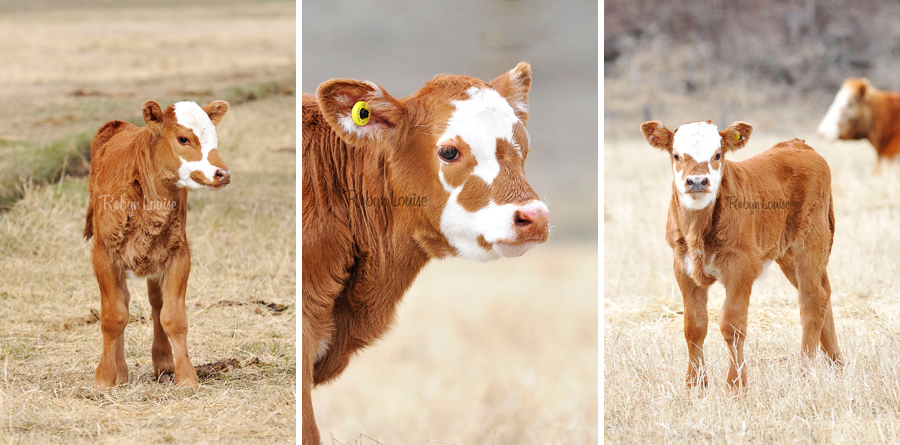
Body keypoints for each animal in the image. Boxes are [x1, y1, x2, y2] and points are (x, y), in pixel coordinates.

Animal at [85, 99, 232, 388]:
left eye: (214, 137)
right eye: (183, 138)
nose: (222, 173)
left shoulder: (179, 255)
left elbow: (173, 317)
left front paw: (187, 378)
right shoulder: (104, 256)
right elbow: (113, 316)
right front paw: (105, 378)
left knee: (155, 304)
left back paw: (163, 364)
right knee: (123, 301)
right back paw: (121, 371)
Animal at [640, 119, 836, 390]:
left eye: (717, 155)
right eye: (676, 155)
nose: (697, 181)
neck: (698, 229)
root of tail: (798, 145)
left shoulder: (741, 267)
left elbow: (732, 325)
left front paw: (735, 386)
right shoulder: (682, 267)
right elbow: (694, 327)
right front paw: (695, 387)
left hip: (810, 243)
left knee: (812, 300)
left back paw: (805, 373)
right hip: (788, 254)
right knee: (824, 293)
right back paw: (838, 364)